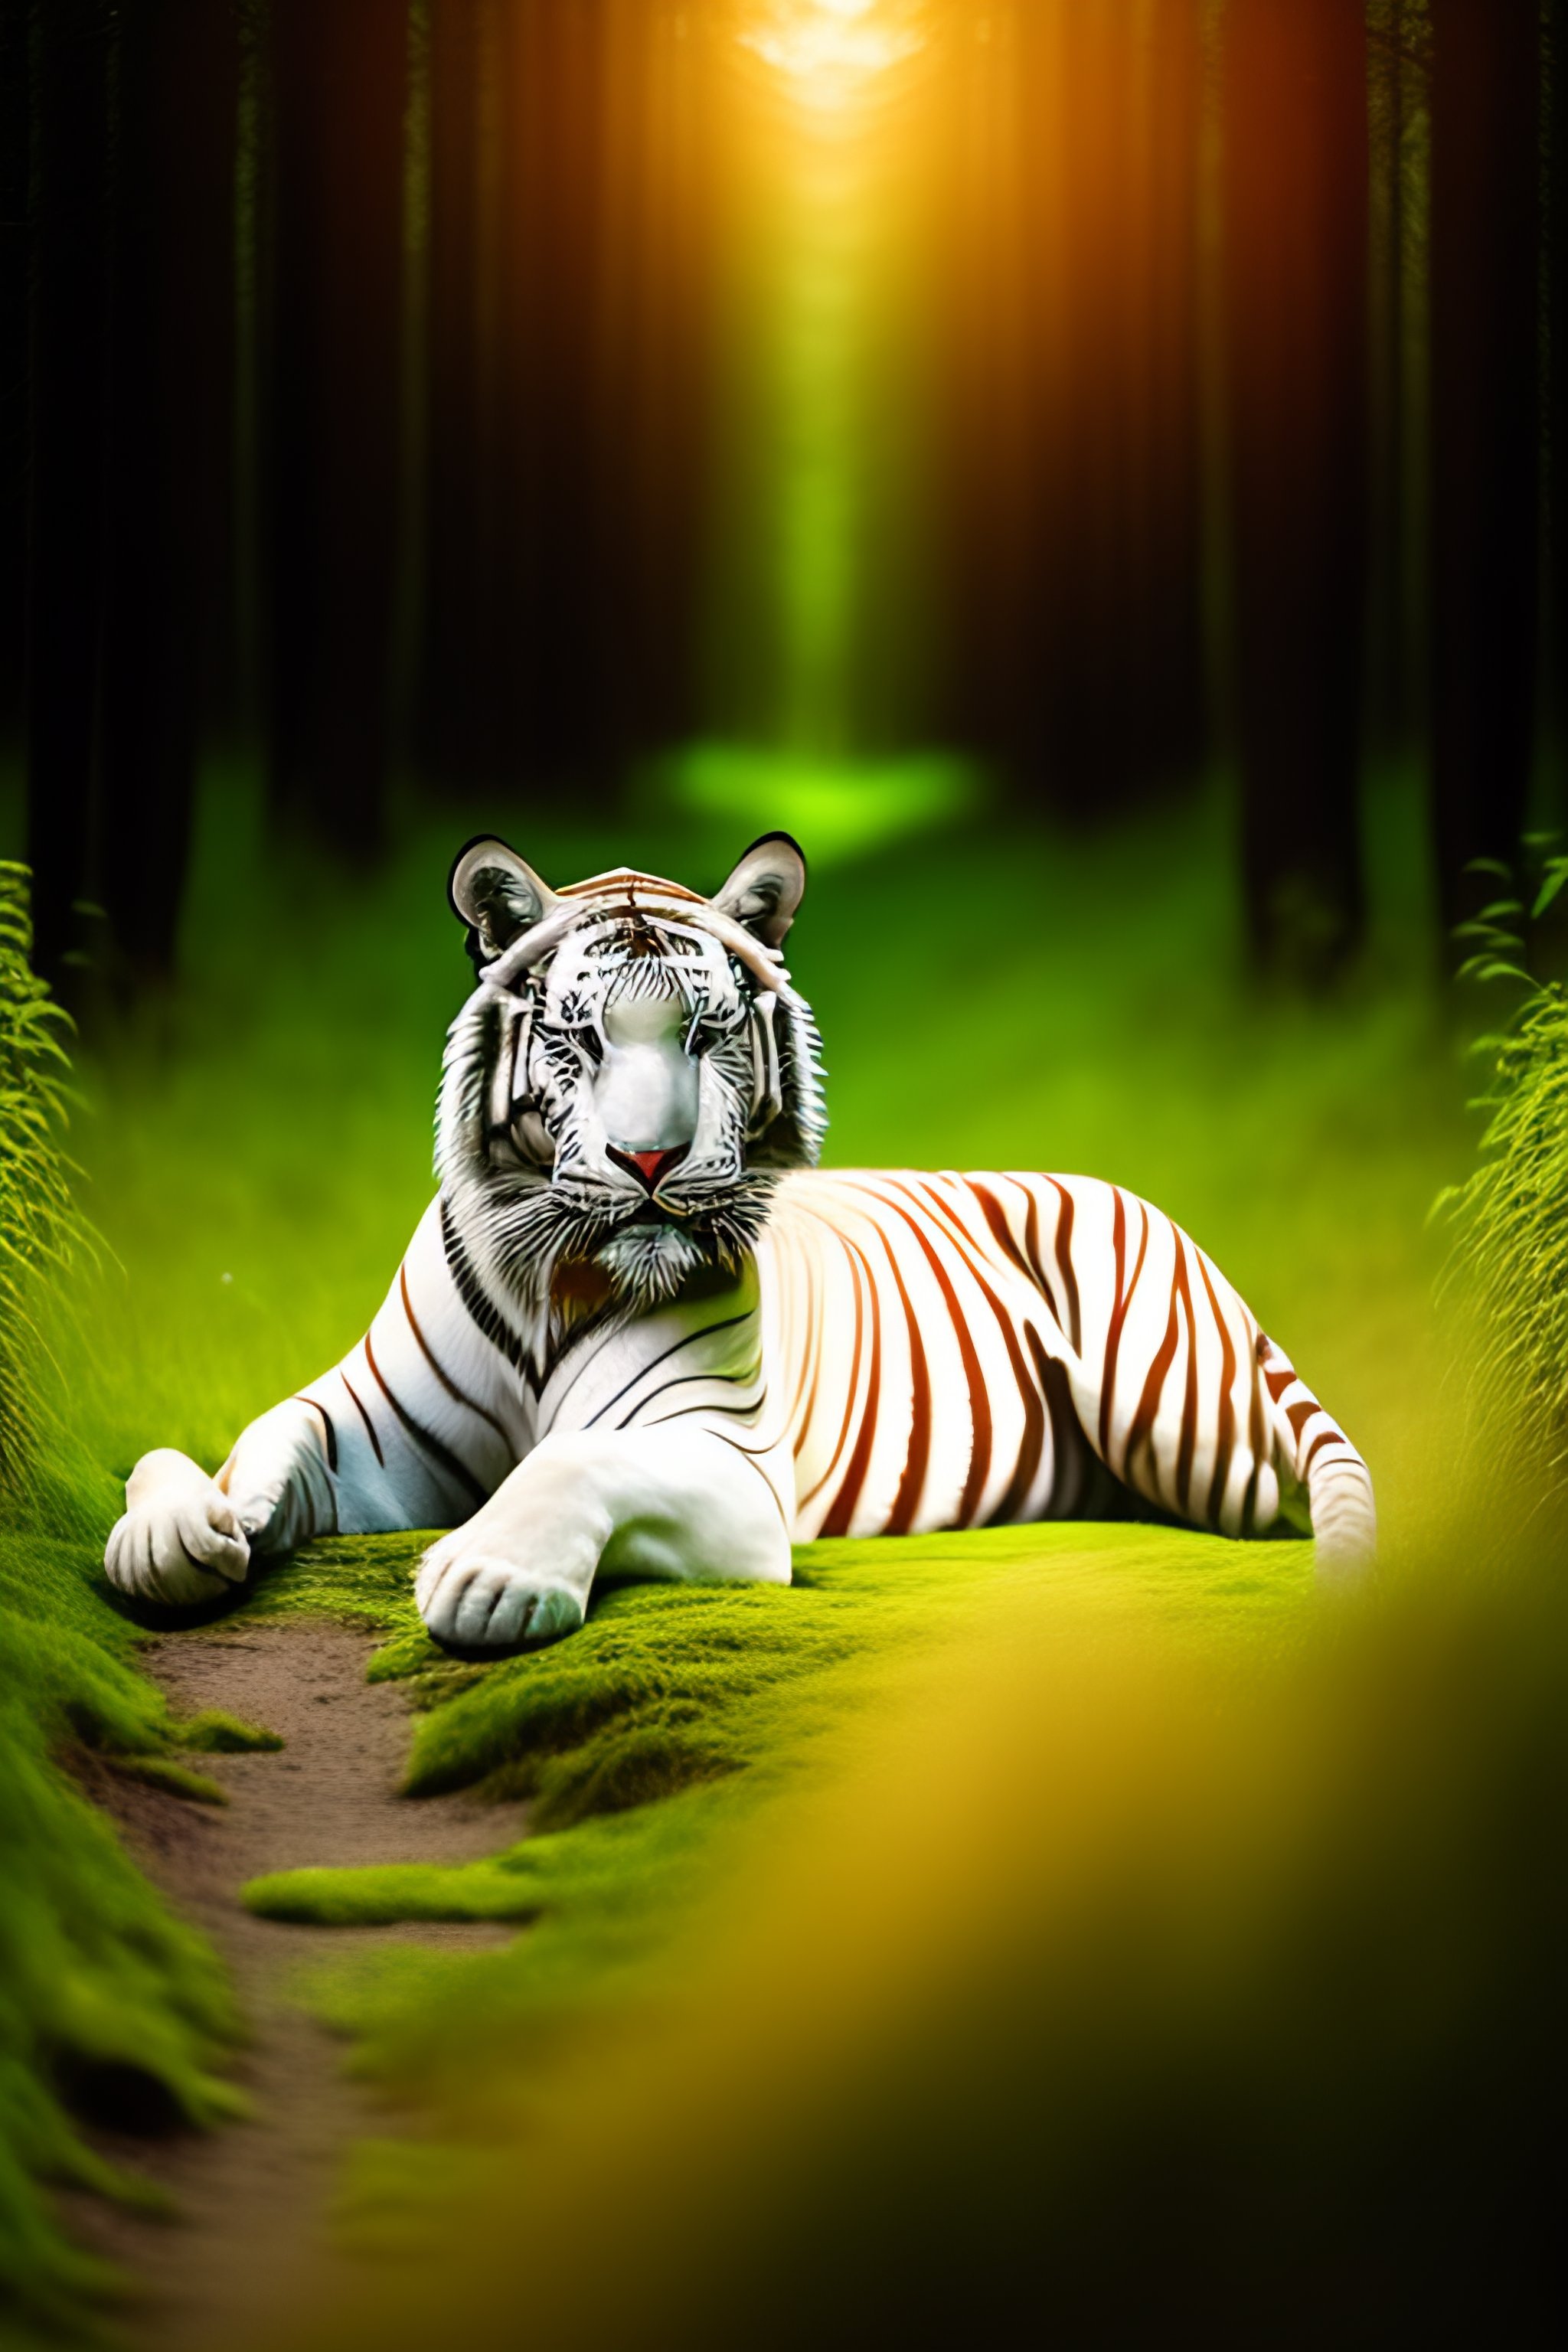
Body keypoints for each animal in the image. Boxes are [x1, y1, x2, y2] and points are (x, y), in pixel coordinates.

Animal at [105, 832, 1376, 1645]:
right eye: (578, 1039)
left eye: (707, 1036)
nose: (650, 1163)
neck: (548, 1283)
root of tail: (1171, 1220)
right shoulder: (369, 1431)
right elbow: (251, 1441)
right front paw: (175, 1530)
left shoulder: (731, 1467)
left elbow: (576, 1457)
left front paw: (489, 1574)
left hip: (1184, 1428)